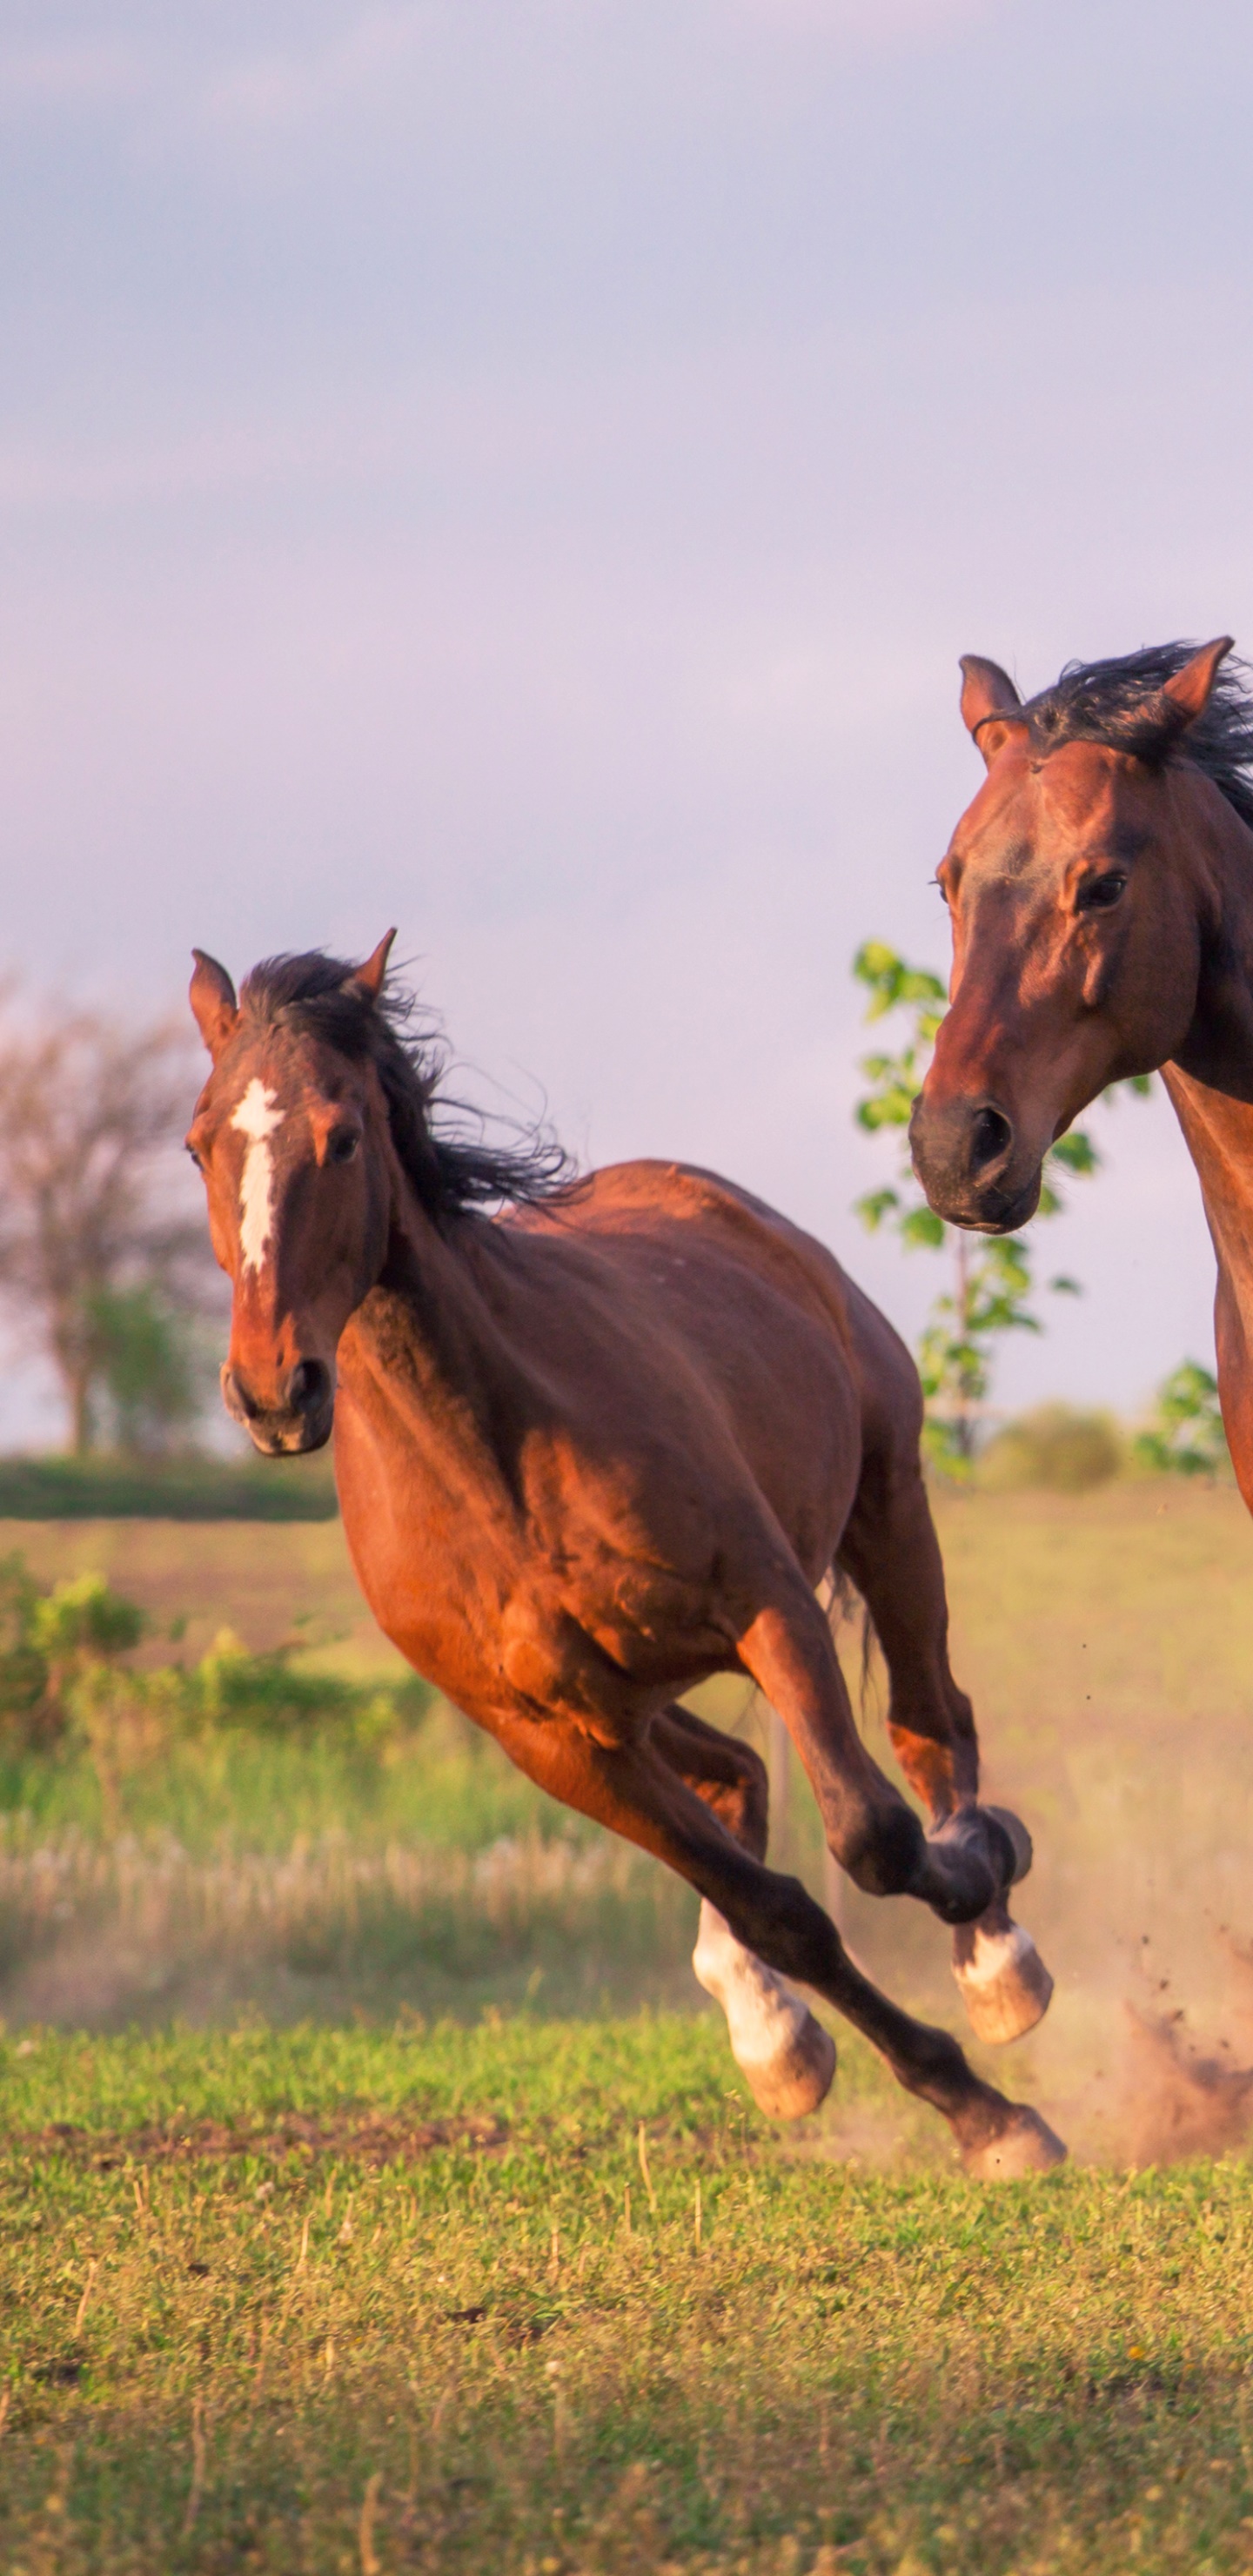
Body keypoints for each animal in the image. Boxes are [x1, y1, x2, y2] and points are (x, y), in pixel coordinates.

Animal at [186, 937, 1064, 2177]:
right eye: (200, 1141)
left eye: (342, 1134)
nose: (274, 1390)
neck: (495, 1461)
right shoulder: (553, 1741)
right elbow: (781, 1909)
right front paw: (967, 2105)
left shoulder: (769, 1607)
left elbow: (872, 1834)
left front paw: (985, 1934)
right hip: (635, 1695)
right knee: (737, 1774)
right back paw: (771, 2030)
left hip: (888, 1502)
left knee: (931, 1723)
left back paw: (997, 1957)